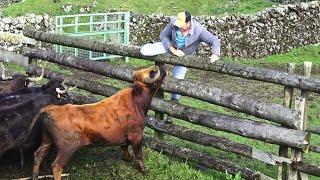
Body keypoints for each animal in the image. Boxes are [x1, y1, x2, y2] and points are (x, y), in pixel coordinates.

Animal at [24, 65, 165, 179]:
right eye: (152, 73)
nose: (161, 68)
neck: (136, 101)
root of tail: (52, 109)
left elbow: (124, 146)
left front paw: (128, 159)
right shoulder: (136, 135)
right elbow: (139, 154)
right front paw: (143, 170)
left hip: (47, 139)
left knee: (38, 154)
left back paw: (35, 176)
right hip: (66, 148)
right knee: (56, 166)